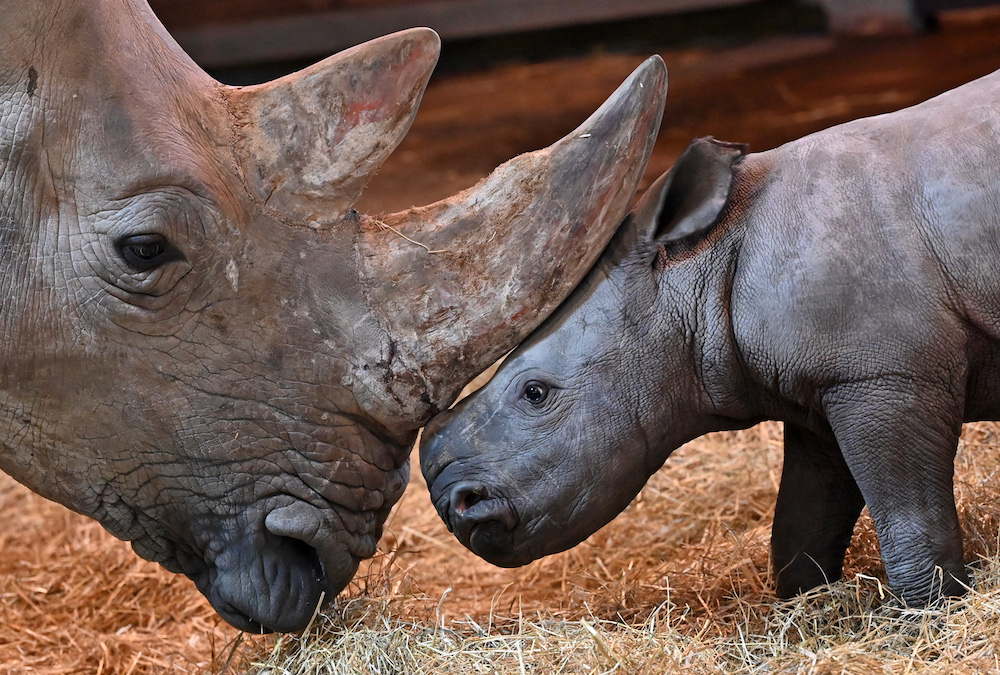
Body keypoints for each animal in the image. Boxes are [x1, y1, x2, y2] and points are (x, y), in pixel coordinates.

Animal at [420, 69, 1000, 607]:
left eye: (535, 393)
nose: (456, 505)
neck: (698, 263)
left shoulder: (884, 376)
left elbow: (909, 519)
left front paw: (929, 613)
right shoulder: (824, 384)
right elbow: (803, 520)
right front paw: (805, 607)